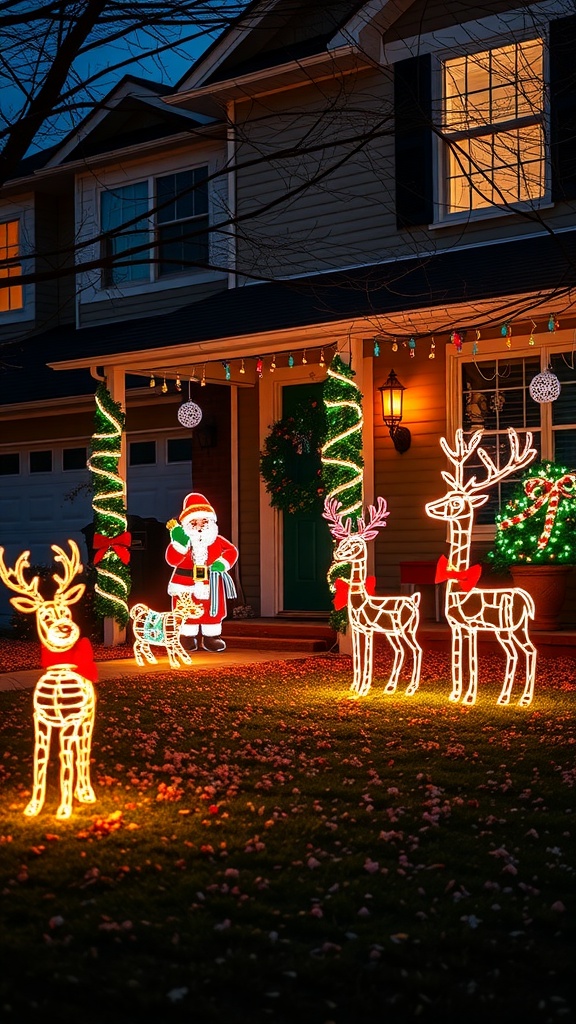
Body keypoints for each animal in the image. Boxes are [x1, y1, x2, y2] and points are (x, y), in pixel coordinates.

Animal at [0, 540, 96, 819]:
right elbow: (40, 759)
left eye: (67, 612)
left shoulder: (71, 720)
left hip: (87, 718)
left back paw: (86, 793)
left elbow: (66, 761)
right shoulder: (40, 719)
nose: (66, 628)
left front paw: (63, 810)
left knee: (82, 751)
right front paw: (32, 807)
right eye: (45, 616)